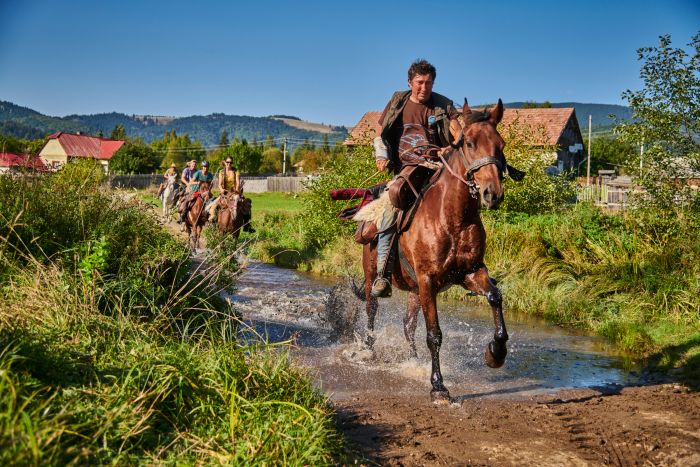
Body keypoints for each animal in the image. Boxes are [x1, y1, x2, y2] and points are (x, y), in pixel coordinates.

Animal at [360, 98, 508, 402]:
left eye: (500, 144)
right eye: (469, 143)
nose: (492, 194)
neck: (453, 217)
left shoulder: (471, 272)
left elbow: (495, 297)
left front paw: (495, 353)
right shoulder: (428, 280)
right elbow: (434, 334)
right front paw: (438, 386)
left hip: (414, 291)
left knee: (408, 326)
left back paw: (413, 361)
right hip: (372, 278)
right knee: (371, 311)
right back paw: (368, 350)